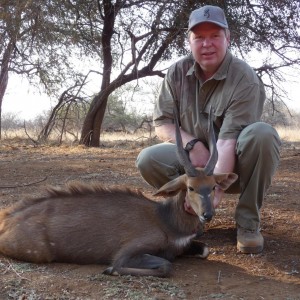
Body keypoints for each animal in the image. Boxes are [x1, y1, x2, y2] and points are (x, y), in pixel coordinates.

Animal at [0, 106, 238, 278]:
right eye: (190, 187)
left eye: (213, 186)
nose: (207, 214)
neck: (166, 220)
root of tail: (7, 219)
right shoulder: (128, 252)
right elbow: (162, 266)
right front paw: (110, 270)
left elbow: (204, 250)